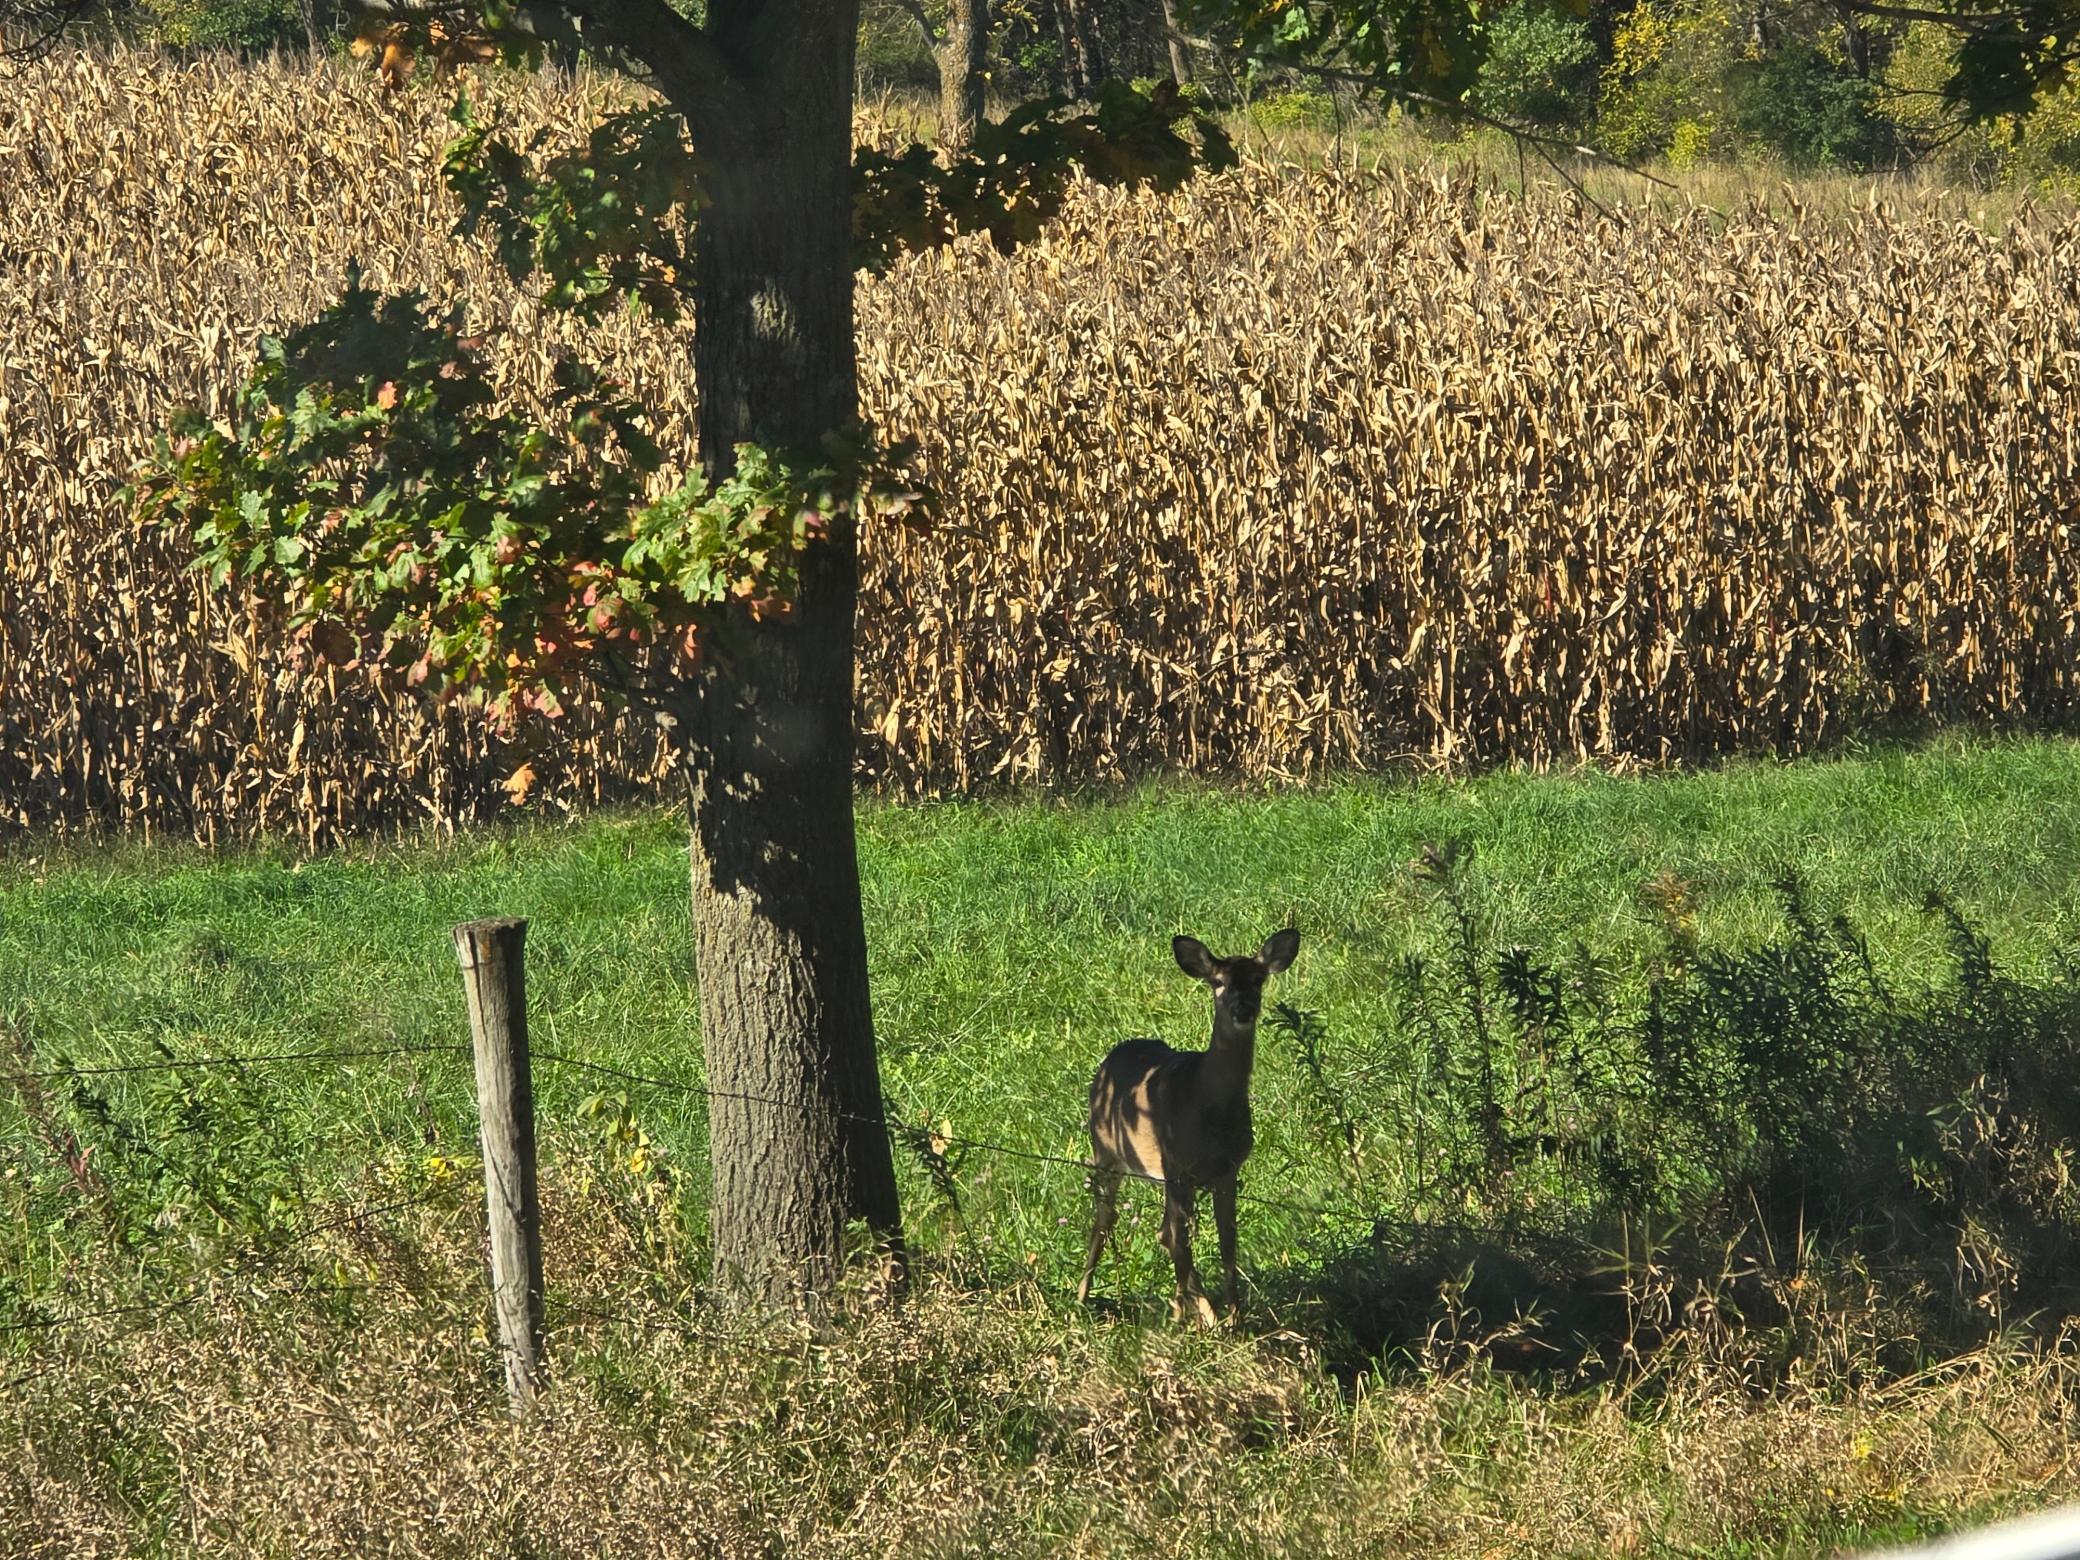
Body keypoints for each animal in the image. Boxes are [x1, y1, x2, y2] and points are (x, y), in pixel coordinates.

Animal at [1076, 928, 1300, 1326]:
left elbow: (1228, 1242)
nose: (1243, 1009)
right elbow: (1182, 1242)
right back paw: (1082, 1300)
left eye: (1258, 979)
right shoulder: (1178, 1164)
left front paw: (1234, 1318)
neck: (1209, 1106)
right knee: (1109, 1220)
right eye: (1218, 982)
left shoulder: (1227, 1171)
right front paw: (1201, 1321)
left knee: (1164, 1230)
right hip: (1108, 1149)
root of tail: (1107, 1061)